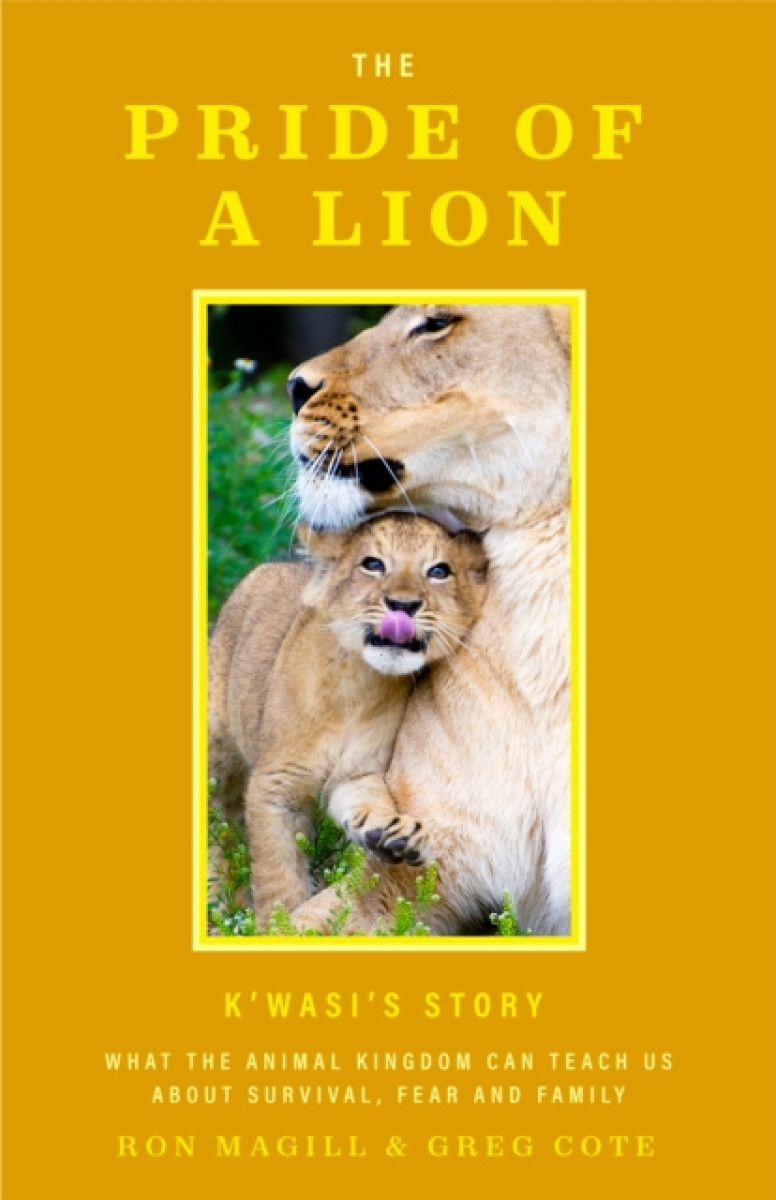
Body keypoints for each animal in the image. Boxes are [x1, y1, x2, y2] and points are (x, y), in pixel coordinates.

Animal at [208, 512, 487, 928]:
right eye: (373, 564)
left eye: (439, 571)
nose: (403, 605)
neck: (357, 688)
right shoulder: (274, 787)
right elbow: (278, 877)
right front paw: (277, 923)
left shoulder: (356, 774)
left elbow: (370, 801)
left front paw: (394, 832)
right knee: (215, 826)